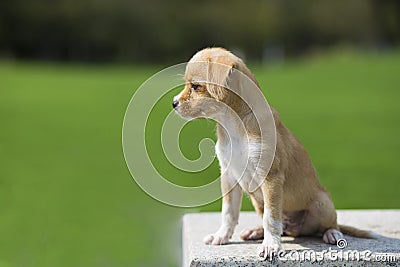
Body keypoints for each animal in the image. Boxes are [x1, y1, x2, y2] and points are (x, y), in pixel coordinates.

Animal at [172, 47, 372, 260]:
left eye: (195, 86)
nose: (173, 103)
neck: (233, 125)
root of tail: (295, 229)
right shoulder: (229, 176)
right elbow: (229, 212)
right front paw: (221, 236)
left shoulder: (270, 178)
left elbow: (271, 218)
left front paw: (270, 247)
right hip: (257, 201)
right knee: (279, 226)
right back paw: (256, 231)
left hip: (322, 203)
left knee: (326, 224)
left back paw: (332, 234)